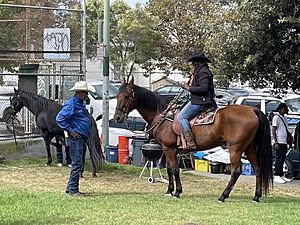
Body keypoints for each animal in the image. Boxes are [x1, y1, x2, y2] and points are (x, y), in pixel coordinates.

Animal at [113, 78, 274, 203]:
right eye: (117, 95)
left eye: (126, 96)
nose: (117, 117)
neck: (162, 116)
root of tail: (253, 110)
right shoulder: (169, 150)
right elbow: (169, 169)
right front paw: (169, 190)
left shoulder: (169, 148)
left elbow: (174, 169)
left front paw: (177, 192)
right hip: (250, 148)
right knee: (258, 169)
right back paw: (256, 197)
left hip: (235, 148)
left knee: (236, 171)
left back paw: (223, 196)